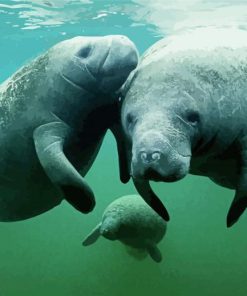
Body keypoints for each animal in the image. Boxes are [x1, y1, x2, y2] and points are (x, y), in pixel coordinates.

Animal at [0, 34, 138, 221]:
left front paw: (125, 175)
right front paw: (86, 202)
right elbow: (57, 167)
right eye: (85, 51)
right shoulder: (44, 128)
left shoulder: (108, 107)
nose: (123, 38)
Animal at [120, 27, 247, 227]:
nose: (149, 155)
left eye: (193, 117)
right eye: (130, 119)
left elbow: (243, 188)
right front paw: (163, 213)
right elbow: (142, 187)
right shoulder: (127, 143)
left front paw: (231, 219)